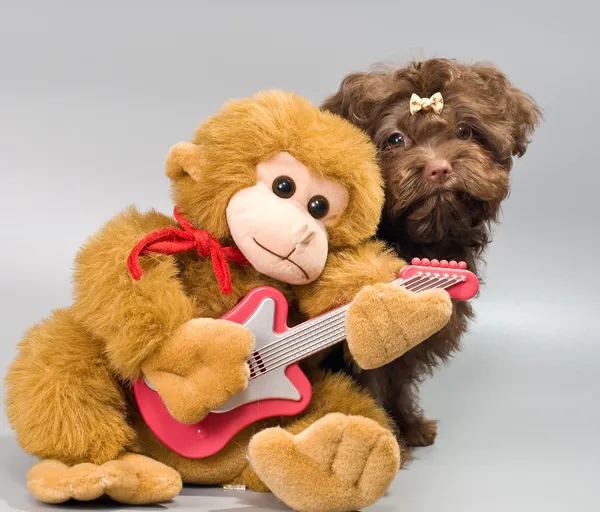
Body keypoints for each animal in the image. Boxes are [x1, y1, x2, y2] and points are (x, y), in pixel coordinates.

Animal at [322, 58, 540, 446]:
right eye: (395, 139)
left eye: (465, 131)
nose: (439, 168)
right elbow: (370, 380)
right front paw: (384, 437)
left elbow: (397, 379)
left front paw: (408, 426)